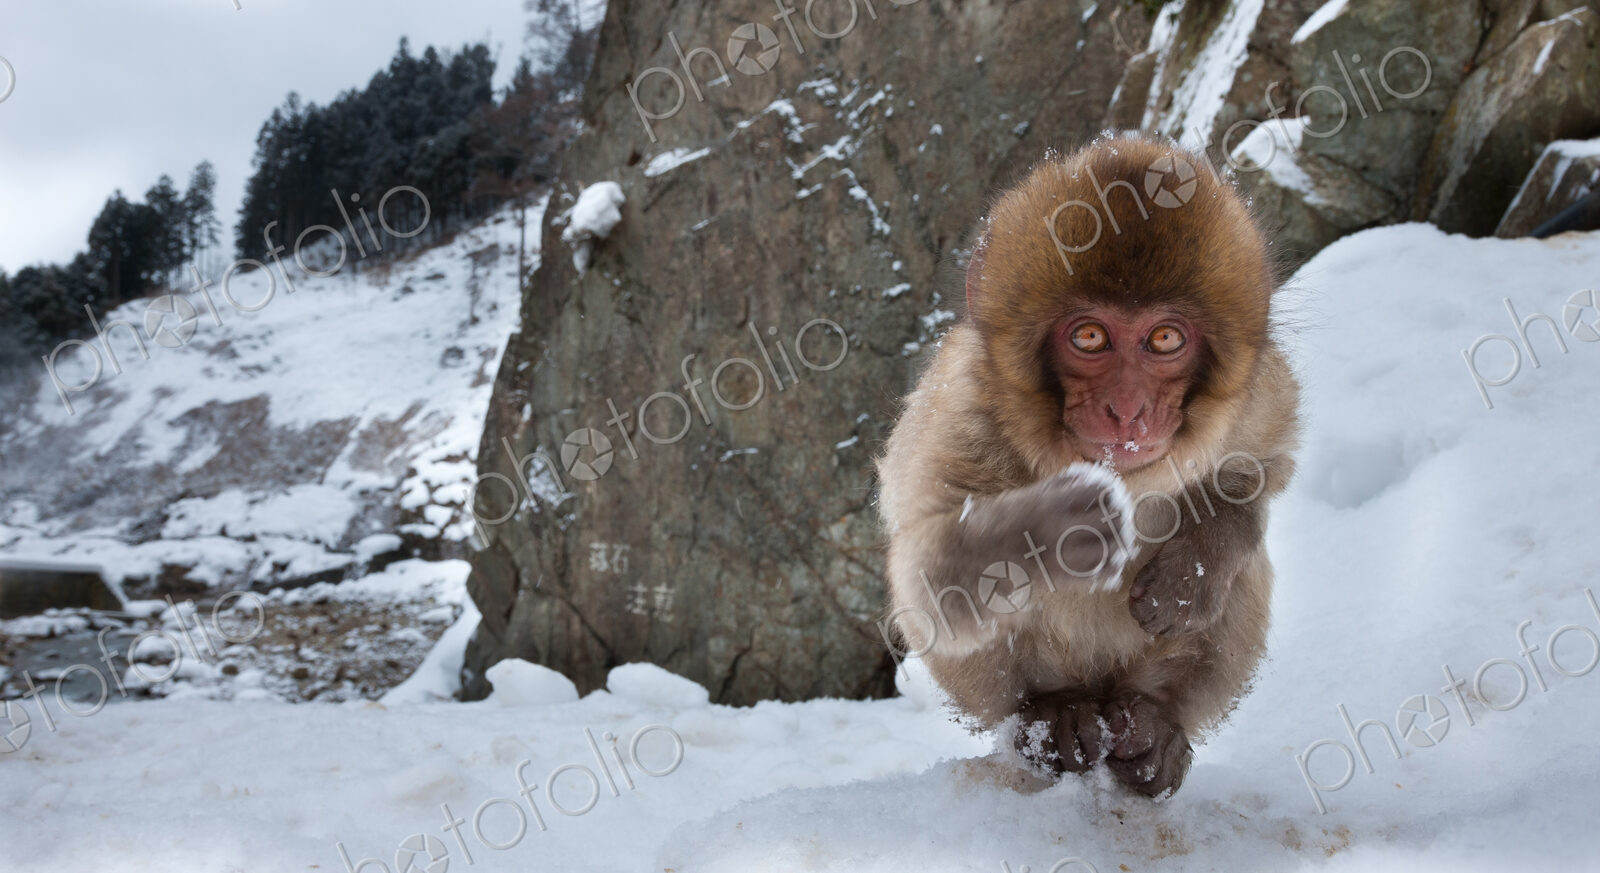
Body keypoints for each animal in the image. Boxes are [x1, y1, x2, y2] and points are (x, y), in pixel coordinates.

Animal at [876, 134, 1301, 797]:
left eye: (1164, 339)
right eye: (1091, 337)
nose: (1127, 410)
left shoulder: (1256, 400)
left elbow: (1260, 470)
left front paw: (1193, 572)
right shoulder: (963, 418)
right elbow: (927, 577)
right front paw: (1057, 524)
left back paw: (1155, 727)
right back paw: (1052, 718)